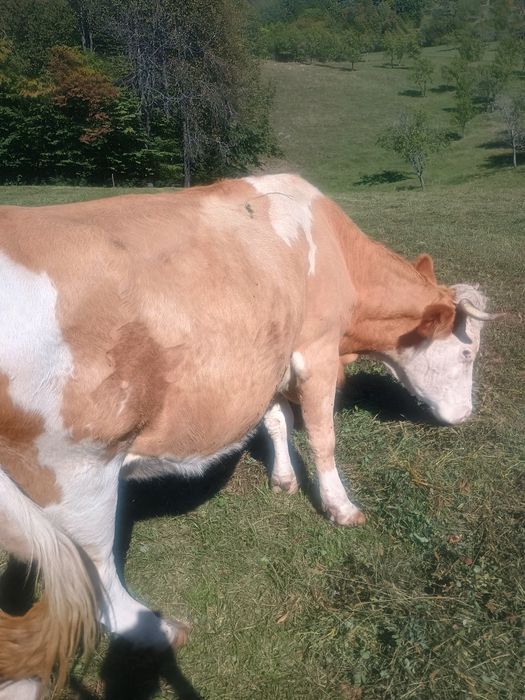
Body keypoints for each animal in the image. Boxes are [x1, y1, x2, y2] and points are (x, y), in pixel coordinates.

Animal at [0, 174, 497, 698]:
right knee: (95, 566)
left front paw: (283, 479)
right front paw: (340, 507)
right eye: (467, 354)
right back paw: (154, 629)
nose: (465, 415)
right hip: (74, 467)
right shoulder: (316, 349)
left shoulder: (272, 355)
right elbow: (322, 437)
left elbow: (277, 420)